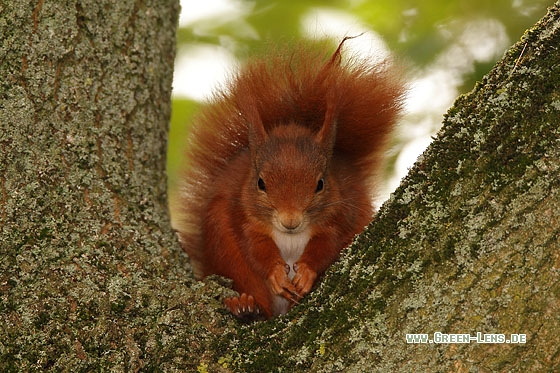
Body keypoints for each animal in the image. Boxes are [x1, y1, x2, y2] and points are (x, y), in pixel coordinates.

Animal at [173, 37, 404, 320]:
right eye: (260, 183)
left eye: (320, 184)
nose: (290, 221)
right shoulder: (243, 216)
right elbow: (256, 247)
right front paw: (275, 273)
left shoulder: (340, 215)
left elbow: (327, 245)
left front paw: (305, 272)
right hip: (227, 252)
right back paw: (246, 307)